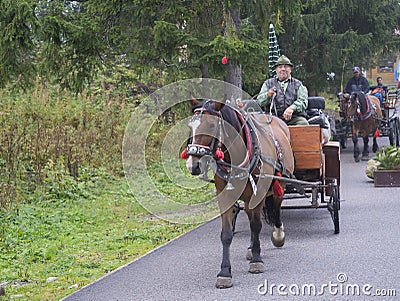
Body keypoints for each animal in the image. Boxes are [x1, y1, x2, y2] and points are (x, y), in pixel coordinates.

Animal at [181, 97, 294, 288]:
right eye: (191, 125)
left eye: (212, 125)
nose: (193, 164)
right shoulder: (225, 196)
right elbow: (227, 234)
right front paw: (225, 272)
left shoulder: (258, 193)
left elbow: (256, 225)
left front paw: (256, 260)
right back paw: (251, 247)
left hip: (279, 184)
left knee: (276, 209)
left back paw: (277, 235)